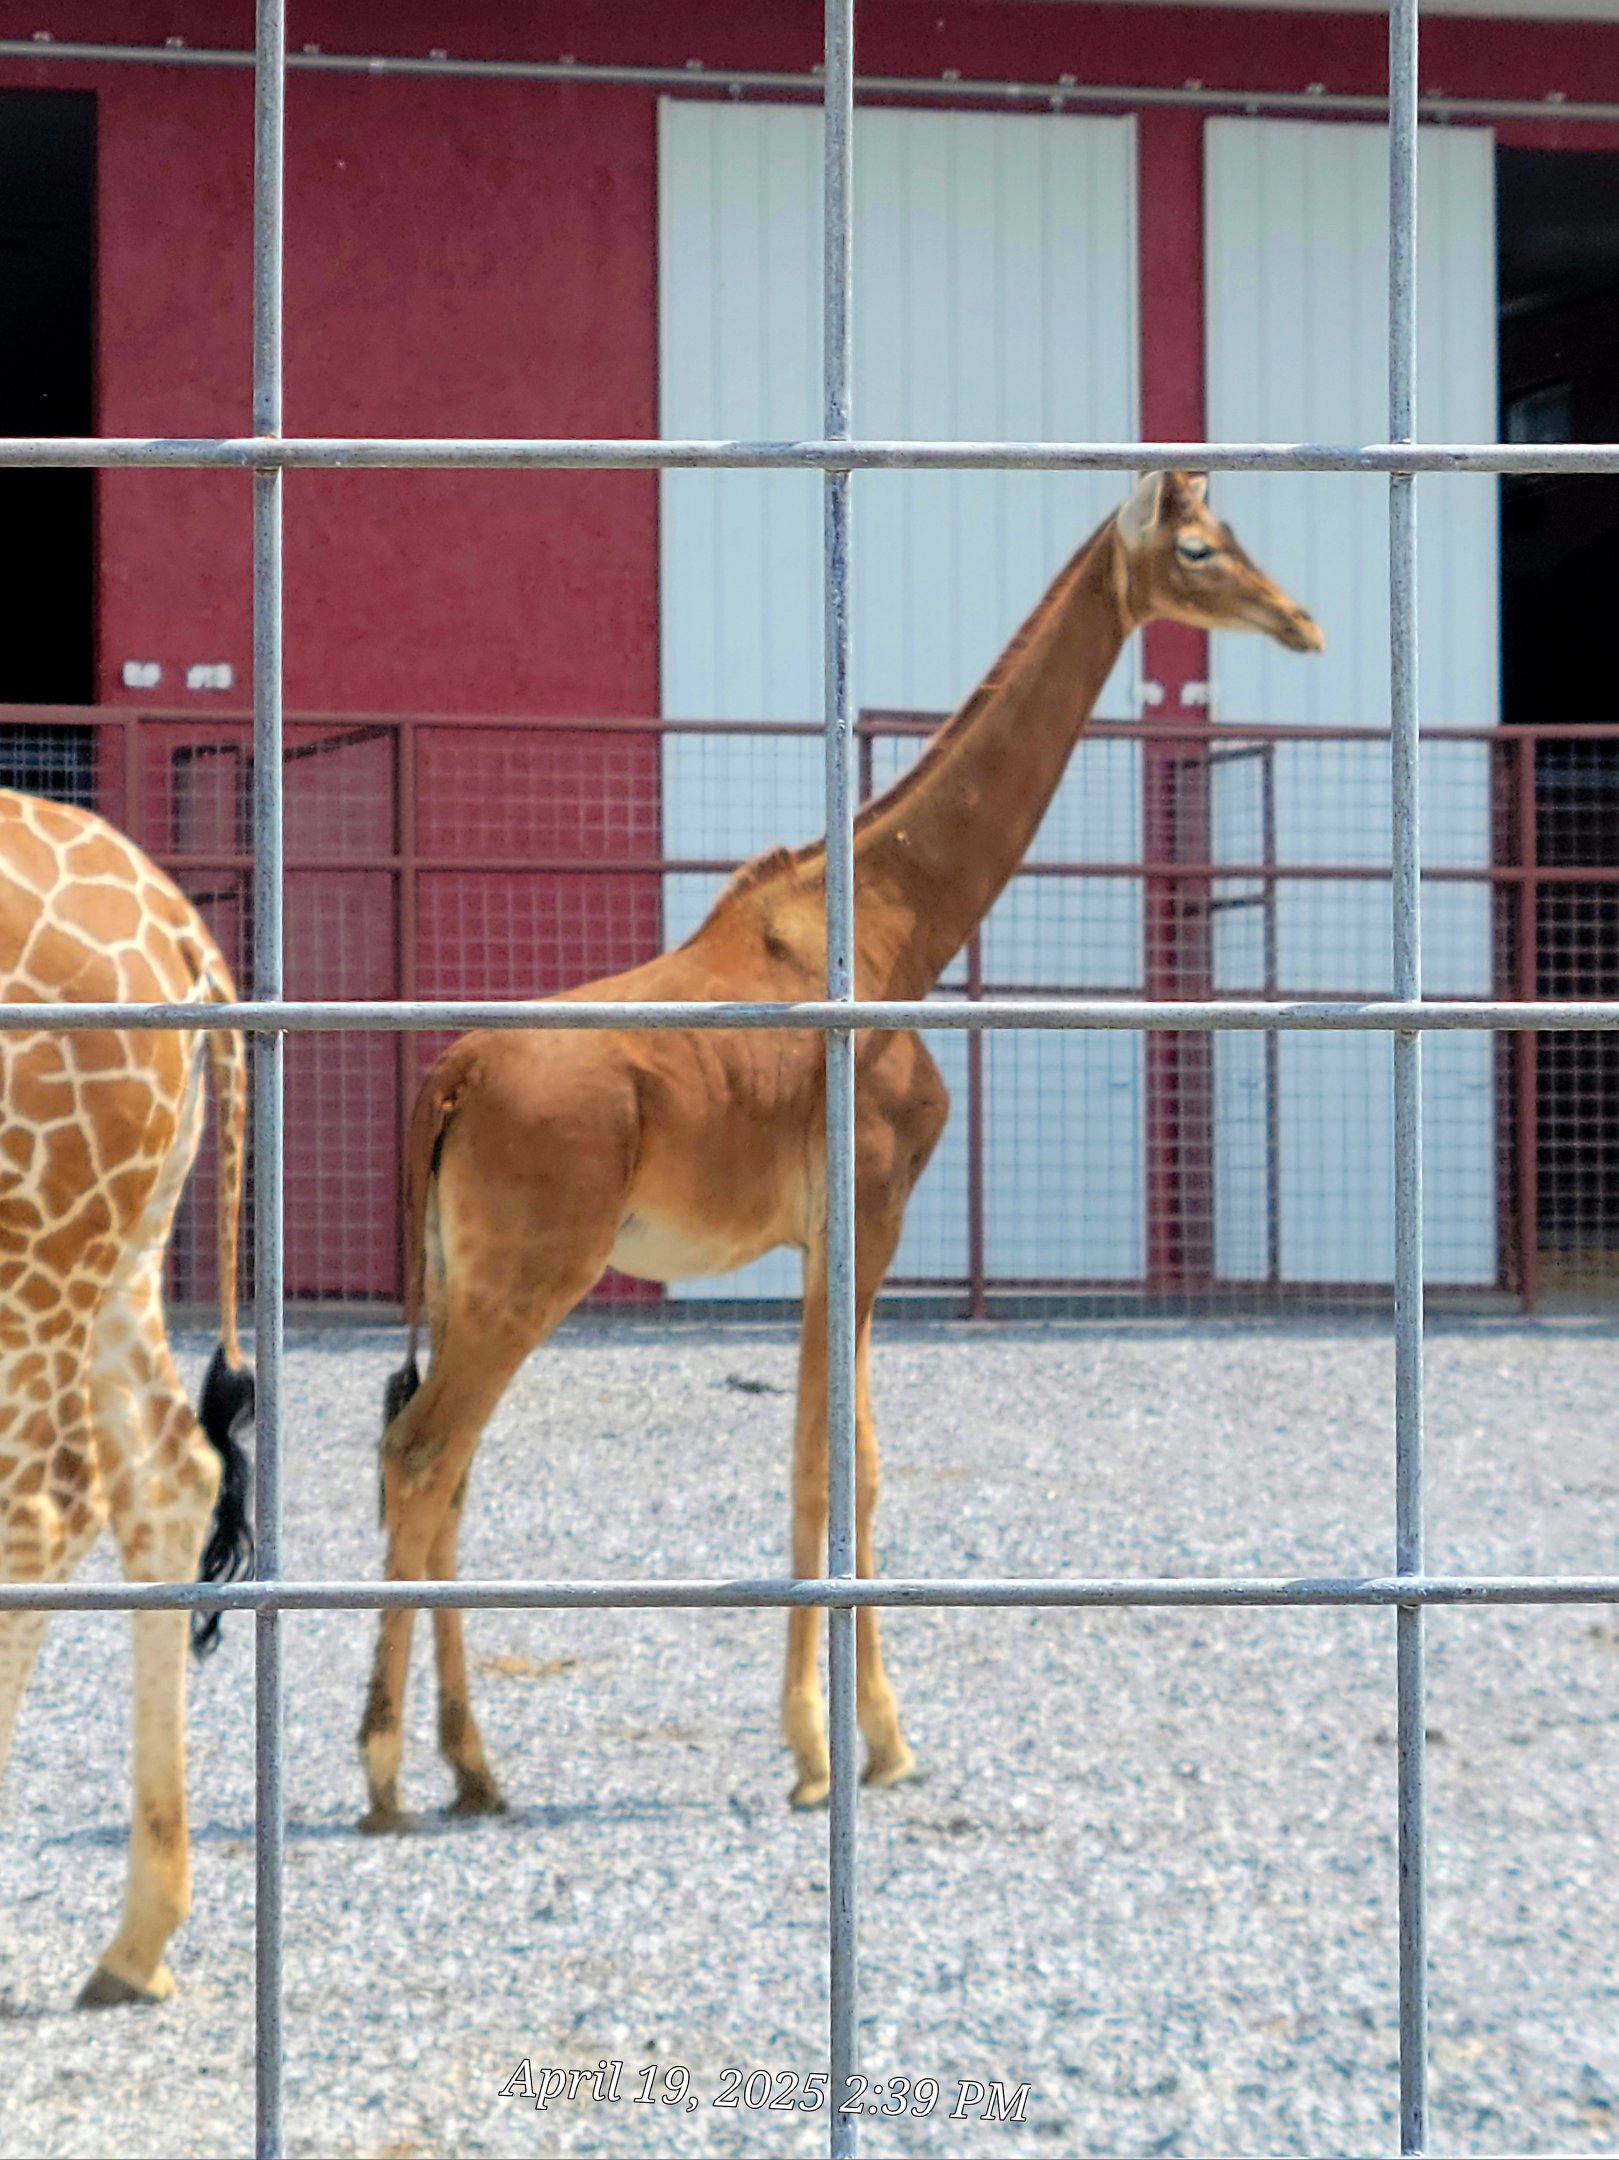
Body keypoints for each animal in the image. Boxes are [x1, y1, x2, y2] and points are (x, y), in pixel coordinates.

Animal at [358, 470, 1323, 1830]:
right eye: (1196, 548)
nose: (1300, 622)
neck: (897, 927)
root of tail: (450, 1080)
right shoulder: (865, 1210)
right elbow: (836, 1466)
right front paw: (838, 1746)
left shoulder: (824, 1235)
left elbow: (843, 1459)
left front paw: (858, 1737)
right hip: (530, 1272)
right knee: (424, 1455)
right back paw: (388, 1769)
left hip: (463, 1277)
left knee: (444, 1469)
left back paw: (475, 1768)